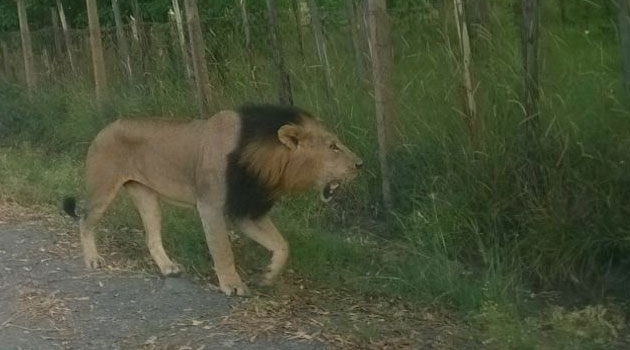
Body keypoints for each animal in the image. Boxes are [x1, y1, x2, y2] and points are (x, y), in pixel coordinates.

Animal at [63, 104, 366, 296]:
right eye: (333, 147)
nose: (360, 164)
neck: (267, 166)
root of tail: (105, 128)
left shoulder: (246, 211)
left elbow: (282, 245)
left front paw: (268, 275)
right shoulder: (210, 207)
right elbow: (222, 250)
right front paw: (232, 285)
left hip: (147, 197)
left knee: (151, 236)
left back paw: (168, 268)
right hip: (103, 189)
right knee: (86, 221)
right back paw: (93, 258)